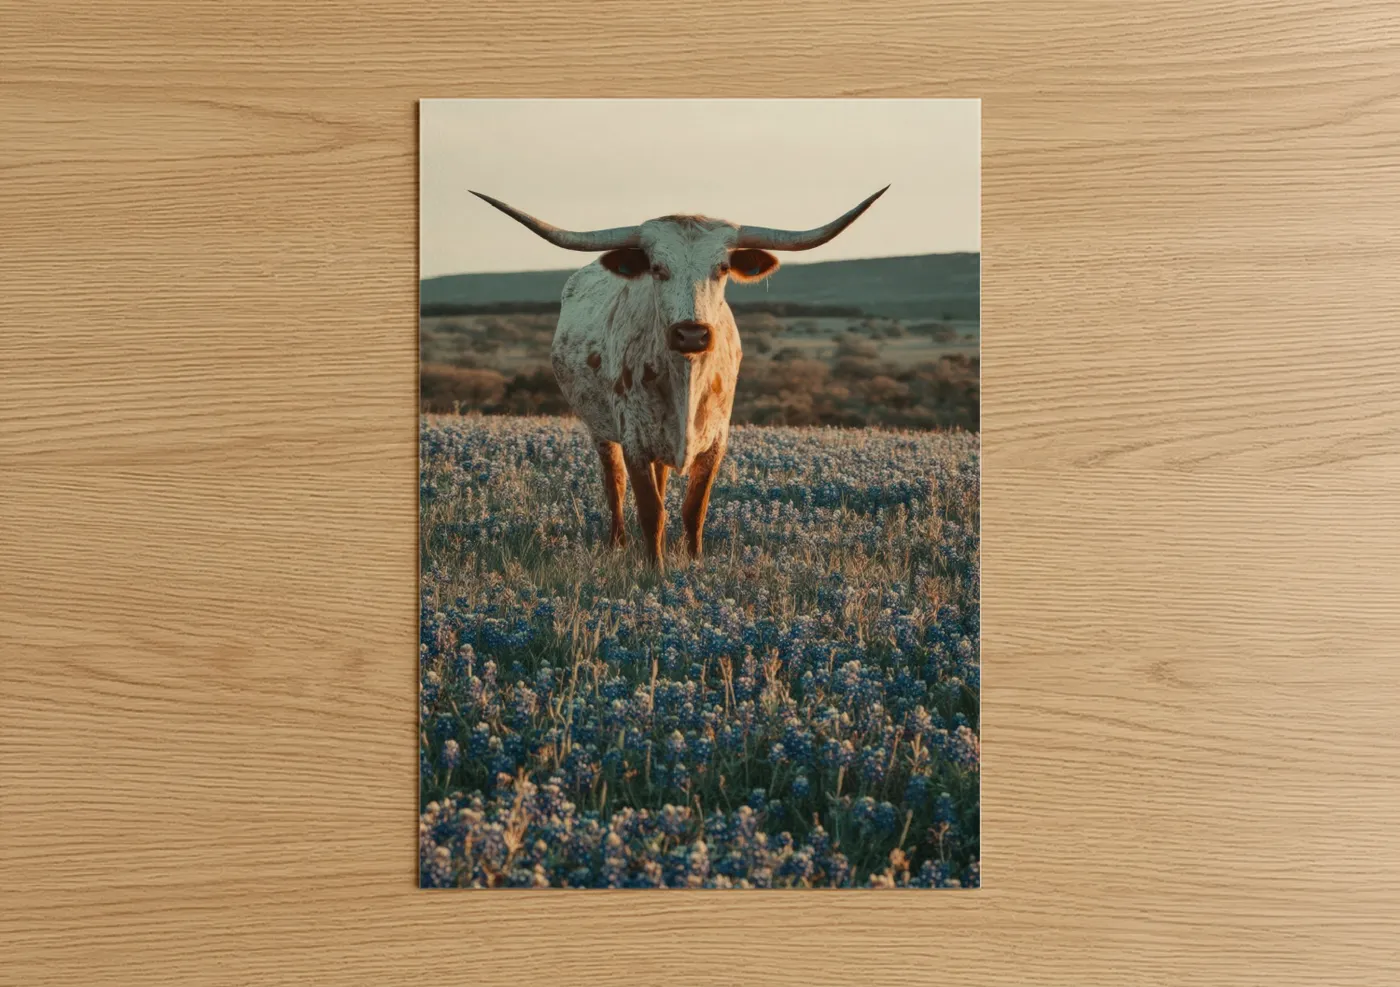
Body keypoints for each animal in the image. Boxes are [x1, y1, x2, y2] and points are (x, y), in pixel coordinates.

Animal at [470, 186, 889, 572]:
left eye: (722, 268)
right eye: (657, 267)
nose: (691, 334)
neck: (685, 379)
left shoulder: (715, 442)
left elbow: (693, 509)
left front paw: (695, 562)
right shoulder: (635, 439)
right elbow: (651, 511)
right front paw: (654, 569)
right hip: (602, 430)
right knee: (614, 484)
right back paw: (617, 543)